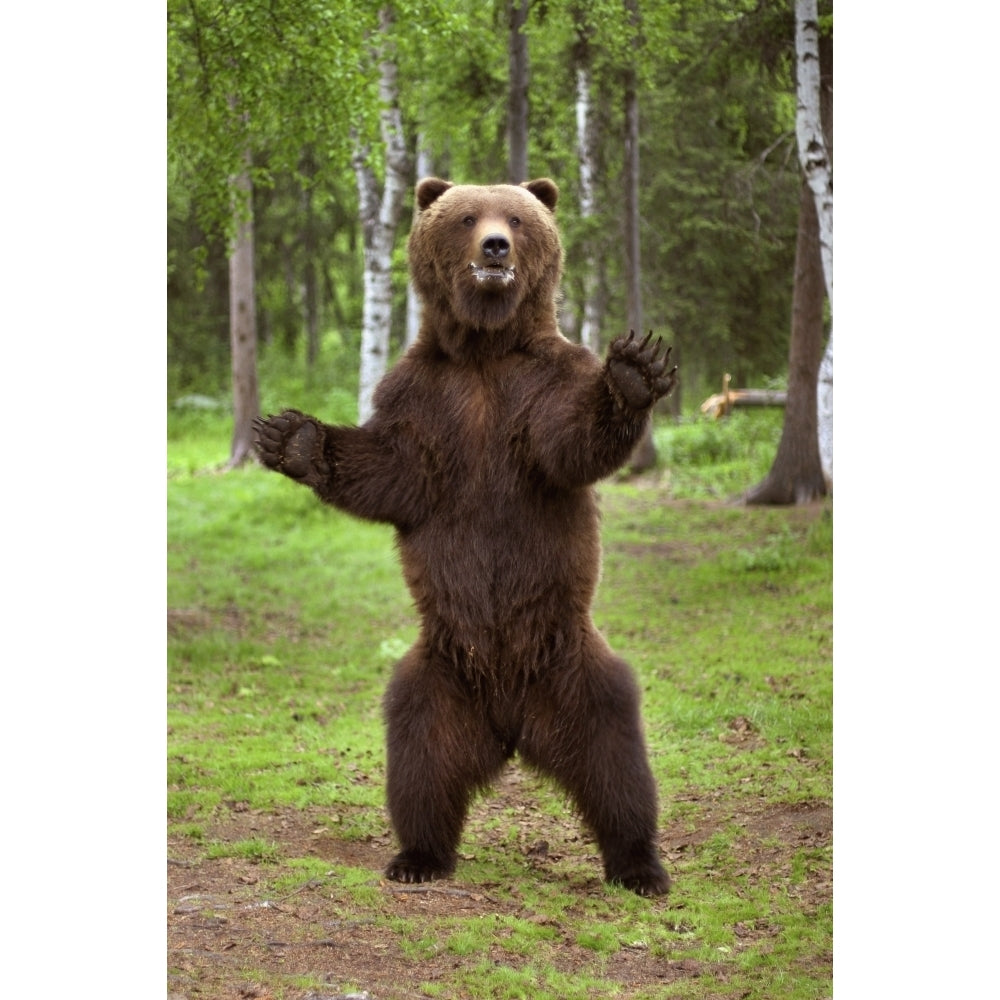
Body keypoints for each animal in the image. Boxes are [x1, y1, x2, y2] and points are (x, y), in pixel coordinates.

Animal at [256, 176, 680, 896]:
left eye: (517, 216)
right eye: (464, 217)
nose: (495, 245)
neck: (485, 349)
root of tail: (511, 722)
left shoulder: (540, 388)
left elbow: (570, 444)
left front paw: (632, 373)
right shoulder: (424, 397)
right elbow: (393, 469)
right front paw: (295, 438)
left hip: (572, 662)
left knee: (615, 758)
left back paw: (640, 865)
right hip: (440, 674)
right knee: (420, 758)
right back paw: (417, 856)